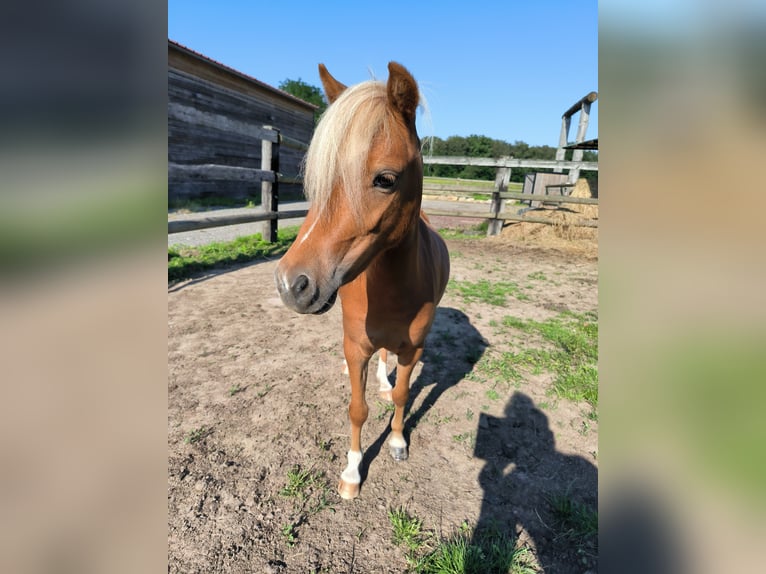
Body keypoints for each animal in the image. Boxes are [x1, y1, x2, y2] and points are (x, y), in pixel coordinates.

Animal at [276, 60, 450, 498]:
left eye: (385, 179)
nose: (291, 285)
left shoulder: (413, 349)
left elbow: (403, 394)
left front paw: (398, 440)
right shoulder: (356, 347)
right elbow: (357, 409)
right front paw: (352, 472)